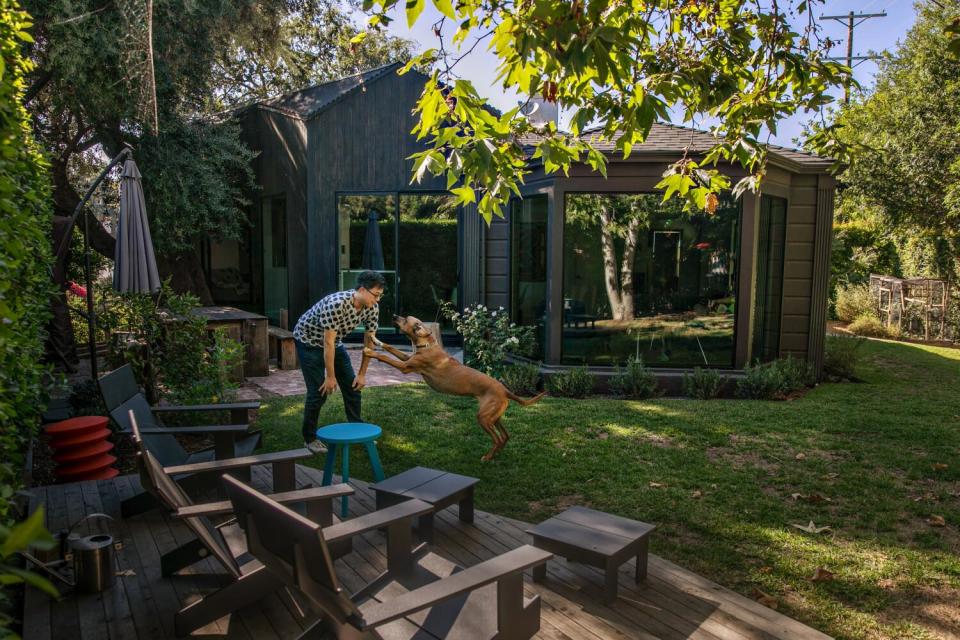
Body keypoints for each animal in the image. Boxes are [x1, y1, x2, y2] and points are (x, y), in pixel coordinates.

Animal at [364, 316, 544, 460]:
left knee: (497, 439)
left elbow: (385, 356)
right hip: (494, 417)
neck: (427, 345)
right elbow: (390, 347)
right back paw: (496, 454)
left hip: (484, 418)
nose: (394, 315)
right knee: (506, 436)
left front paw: (370, 352)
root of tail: (505, 390)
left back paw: (487, 457)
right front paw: (376, 340)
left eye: (406, 319)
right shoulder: (407, 358)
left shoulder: (405, 366)